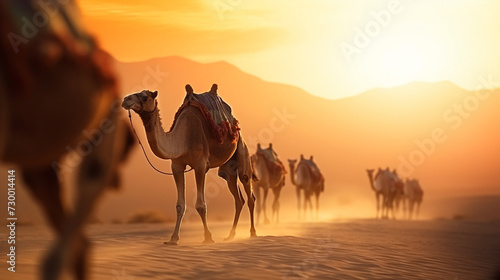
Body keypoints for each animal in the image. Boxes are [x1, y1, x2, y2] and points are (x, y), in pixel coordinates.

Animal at [120, 84, 254, 244]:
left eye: (145, 97)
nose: (125, 99)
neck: (183, 138)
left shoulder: (201, 165)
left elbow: (201, 205)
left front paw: (208, 237)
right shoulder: (176, 166)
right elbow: (179, 205)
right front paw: (173, 239)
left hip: (242, 149)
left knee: (248, 190)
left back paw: (253, 233)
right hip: (228, 168)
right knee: (237, 197)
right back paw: (230, 235)